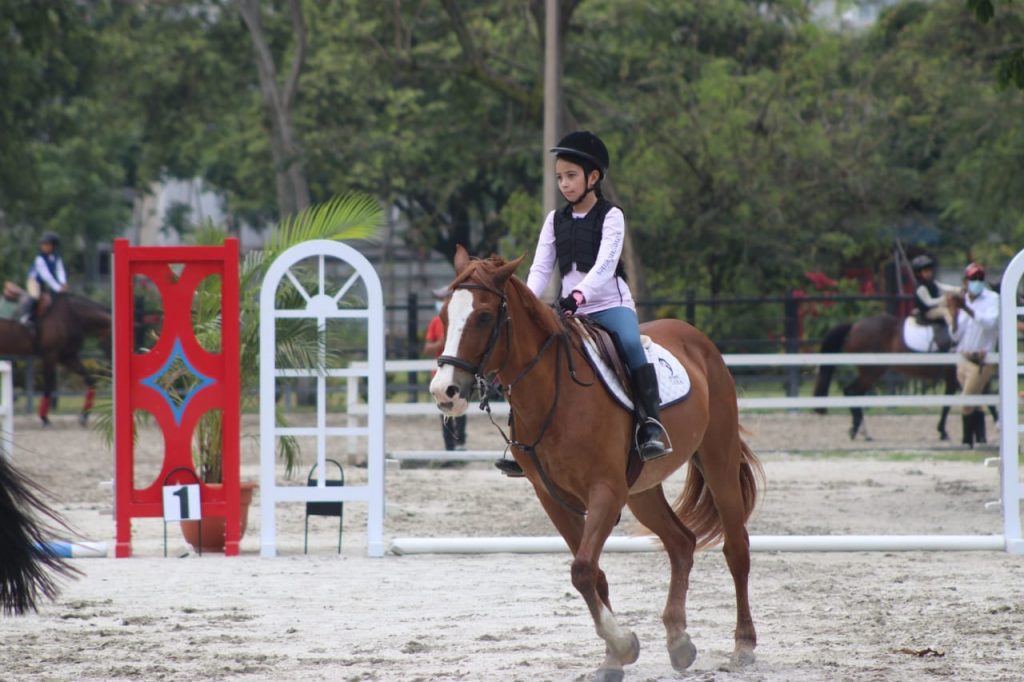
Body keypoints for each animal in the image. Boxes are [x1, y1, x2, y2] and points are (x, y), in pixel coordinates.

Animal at [0, 292, 111, 425]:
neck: (72, 314)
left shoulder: (67, 357)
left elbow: (90, 380)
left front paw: (84, 415)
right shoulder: (50, 355)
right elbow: (48, 385)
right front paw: (44, 418)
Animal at [428, 246, 765, 675]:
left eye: (484, 316)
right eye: (444, 316)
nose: (445, 392)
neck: (554, 394)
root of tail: (698, 340)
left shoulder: (605, 491)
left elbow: (583, 569)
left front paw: (622, 645)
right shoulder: (553, 497)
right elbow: (592, 572)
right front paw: (615, 656)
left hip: (716, 460)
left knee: (736, 548)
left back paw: (743, 645)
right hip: (641, 491)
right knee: (681, 543)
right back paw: (678, 641)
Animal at [806, 311, 958, 438]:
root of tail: (854, 326)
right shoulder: (953, 378)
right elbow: (947, 404)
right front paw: (943, 432)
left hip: (870, 372)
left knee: (854, 393)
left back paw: (861, 431)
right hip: (872, 371)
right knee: (852, 391)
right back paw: (859, 430)